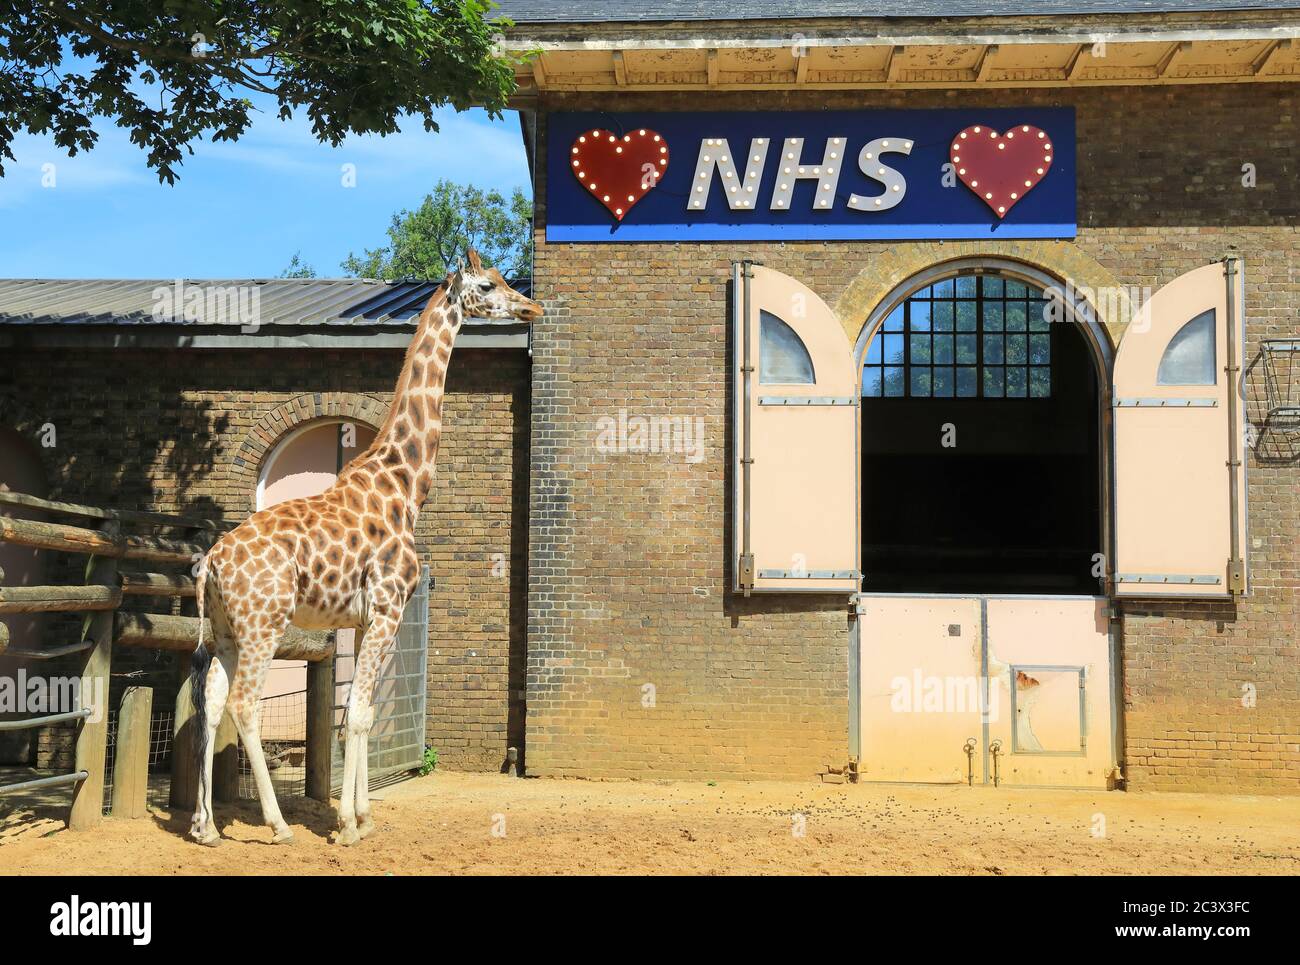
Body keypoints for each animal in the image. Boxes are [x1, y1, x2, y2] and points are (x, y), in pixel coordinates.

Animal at [189, 249, 541, 846]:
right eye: (489, 284)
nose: (532, 308)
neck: (404, 486)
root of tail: (211, 562)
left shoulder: (359, 619)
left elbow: (362, 713)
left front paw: (361, 817)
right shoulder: (388, 607)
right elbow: (355, 714)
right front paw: (349, 825)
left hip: (224, 630)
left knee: (211, 701)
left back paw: (205, 826)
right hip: (263, 623)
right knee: (244, 704)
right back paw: (278, 825)